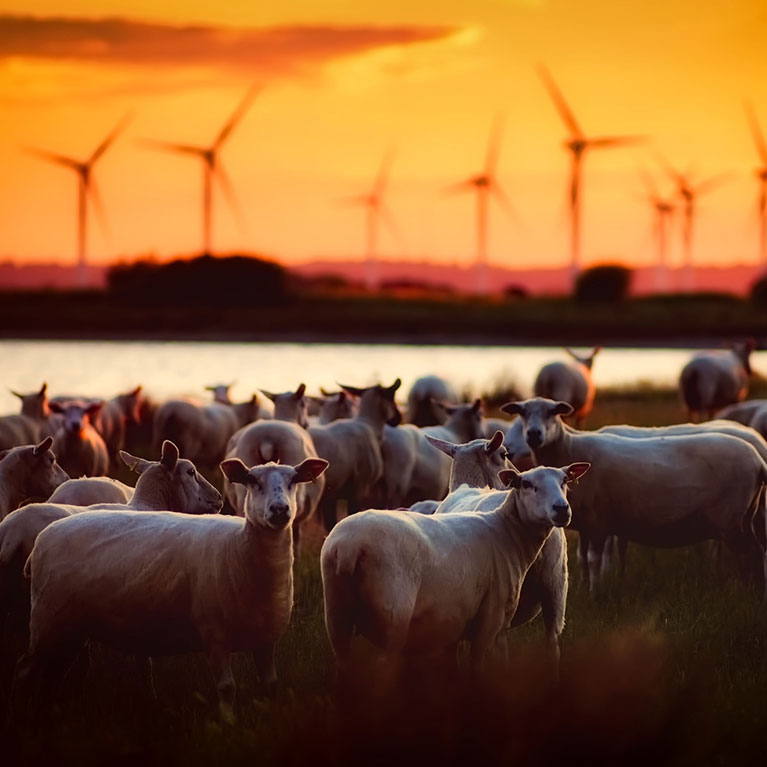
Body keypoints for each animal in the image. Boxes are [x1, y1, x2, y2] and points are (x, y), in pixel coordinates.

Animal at [15, 456, 328, 728]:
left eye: (293, 481)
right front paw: (228, 725)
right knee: (25, 671)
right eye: (252, 481)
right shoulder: (214, 633)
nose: (279, 510)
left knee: (53, 674)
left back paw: (48, 714)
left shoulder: (266, 639)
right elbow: (227, 688)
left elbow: (271, 685)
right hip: (47, 621)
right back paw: (24, 720)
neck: (238, 546)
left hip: (71, 628)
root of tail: (43, 538)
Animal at [308, 380, 402, 536]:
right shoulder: (359, 488)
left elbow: (330, 523)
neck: (370, 425)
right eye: (391, 396)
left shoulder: (333, 493)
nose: (398, 418)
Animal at [320, 460, 592, 680]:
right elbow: (478, 668)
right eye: (526, 484)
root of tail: (348, 547)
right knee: (383, 665)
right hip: (392, 615)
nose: (561, 509)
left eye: (565, 481)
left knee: (342, 665)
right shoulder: (491, 619)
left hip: (336, 613)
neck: (506, 531)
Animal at [500, 400, 767, 592]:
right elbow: (582, 559)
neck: (570, 447)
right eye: (522, 413)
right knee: (756, 551)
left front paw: (595, 592)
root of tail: (758, 461)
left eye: (552, 412)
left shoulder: (599, 524)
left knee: (750, 552)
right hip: (746, 516)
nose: (534, 434)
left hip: (731, 520)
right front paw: (584, 586)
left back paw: (746, 591)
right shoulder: (586, 524)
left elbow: (595, 560)